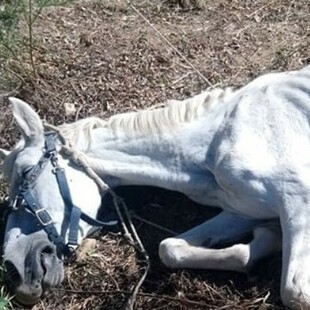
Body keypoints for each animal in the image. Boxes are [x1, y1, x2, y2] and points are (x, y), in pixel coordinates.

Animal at [0, 65, 310, 308]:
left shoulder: (298, 199)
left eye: (26, 173)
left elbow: (296, 293)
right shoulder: (243, 211)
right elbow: (170, 249)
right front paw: (269, 238)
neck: (214, 141)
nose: (13, 267)